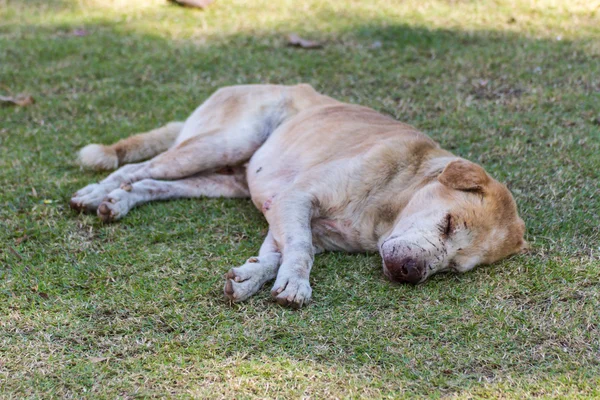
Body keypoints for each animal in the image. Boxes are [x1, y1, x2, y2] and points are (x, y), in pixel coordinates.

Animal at [70, 84, 524, 308]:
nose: (410, 273)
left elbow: (278, 255)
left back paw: (120, 201)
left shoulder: (287, 215)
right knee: (133, 169)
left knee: (150, 183)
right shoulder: (296, 201)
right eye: (448, 224)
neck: (392, 202)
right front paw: (295, 285)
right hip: (220, 143)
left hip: (218, 179)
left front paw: (251, 278)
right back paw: (95, 194)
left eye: (454, 269)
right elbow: (300, 251)